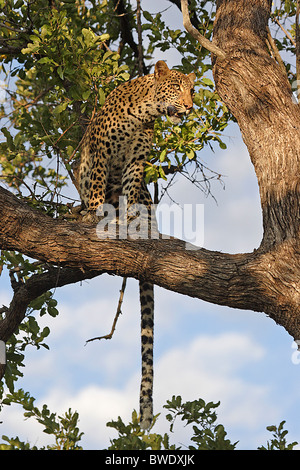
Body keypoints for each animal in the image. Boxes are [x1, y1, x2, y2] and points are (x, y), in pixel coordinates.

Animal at [77, 59, 196, 430]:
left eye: (192, 89)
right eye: (176, 86)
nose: (189, 107)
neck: (144, 113)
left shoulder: (135, 162)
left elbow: (130, 189)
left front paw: (130, 221)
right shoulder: (101, 154)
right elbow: (98, 188)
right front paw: (96, 216)